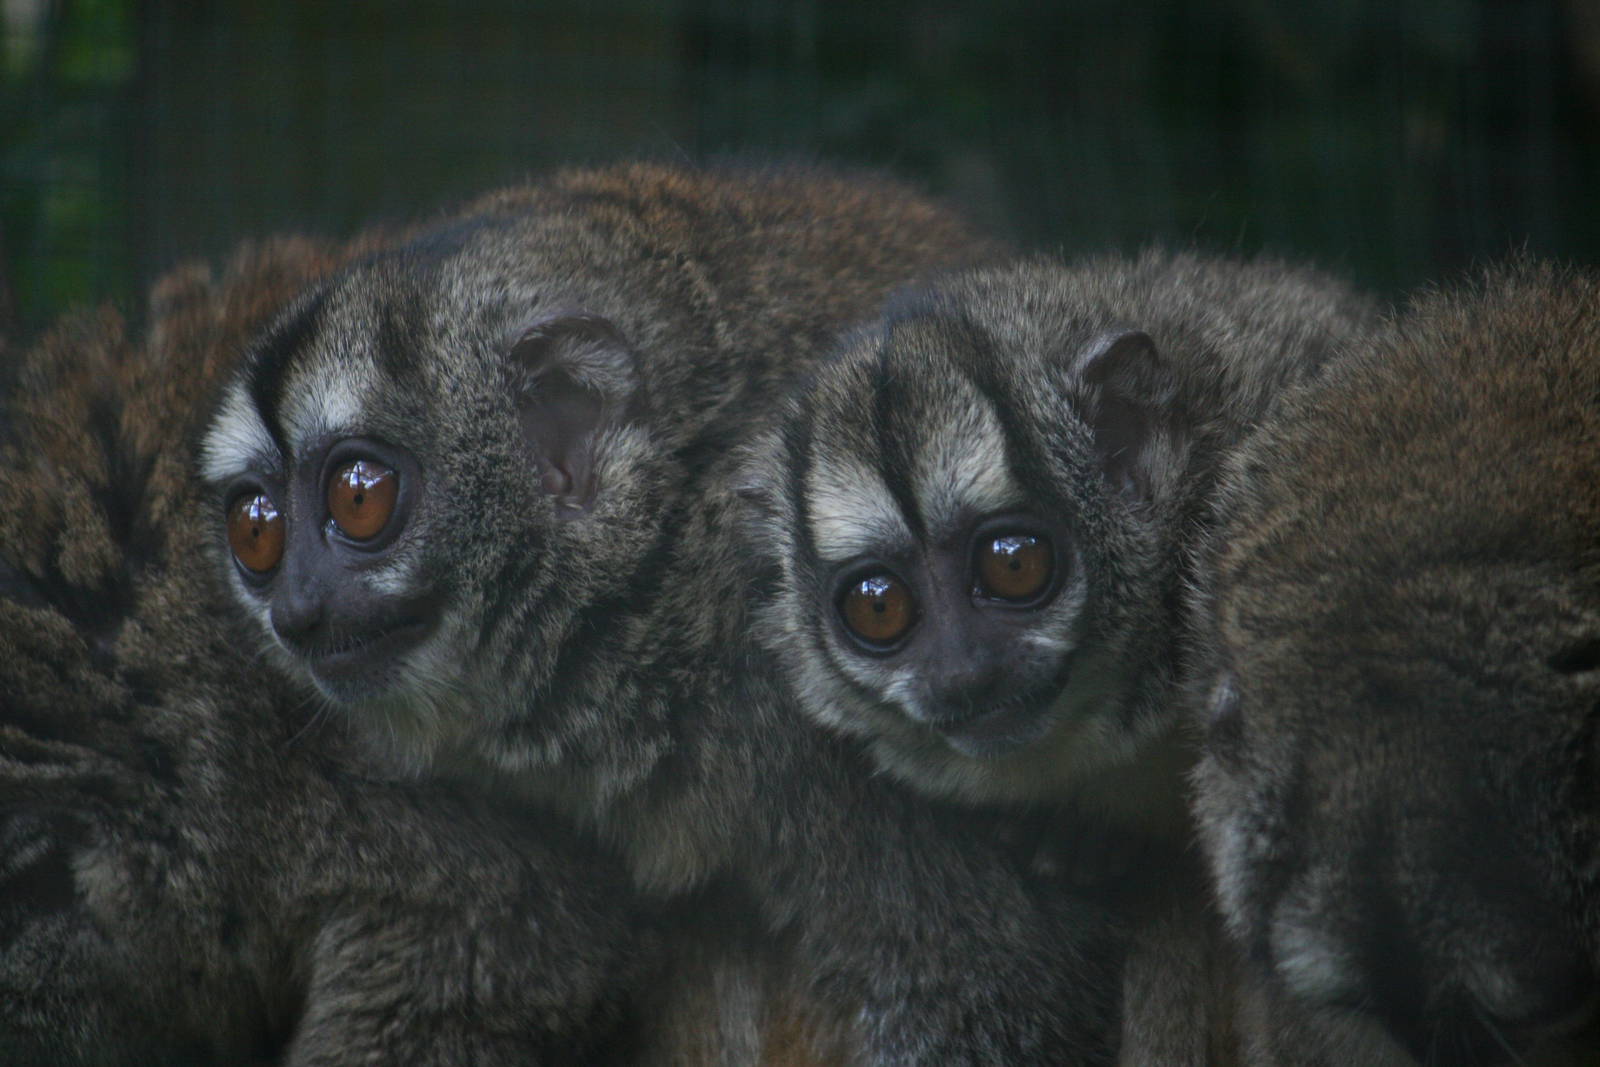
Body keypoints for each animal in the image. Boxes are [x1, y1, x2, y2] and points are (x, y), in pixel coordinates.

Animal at [199, 160, 1135, 1064]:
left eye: (360, 497)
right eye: (257, 527)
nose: (299, 609)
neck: (675, 559)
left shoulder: (838, 714)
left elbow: (993, 981)